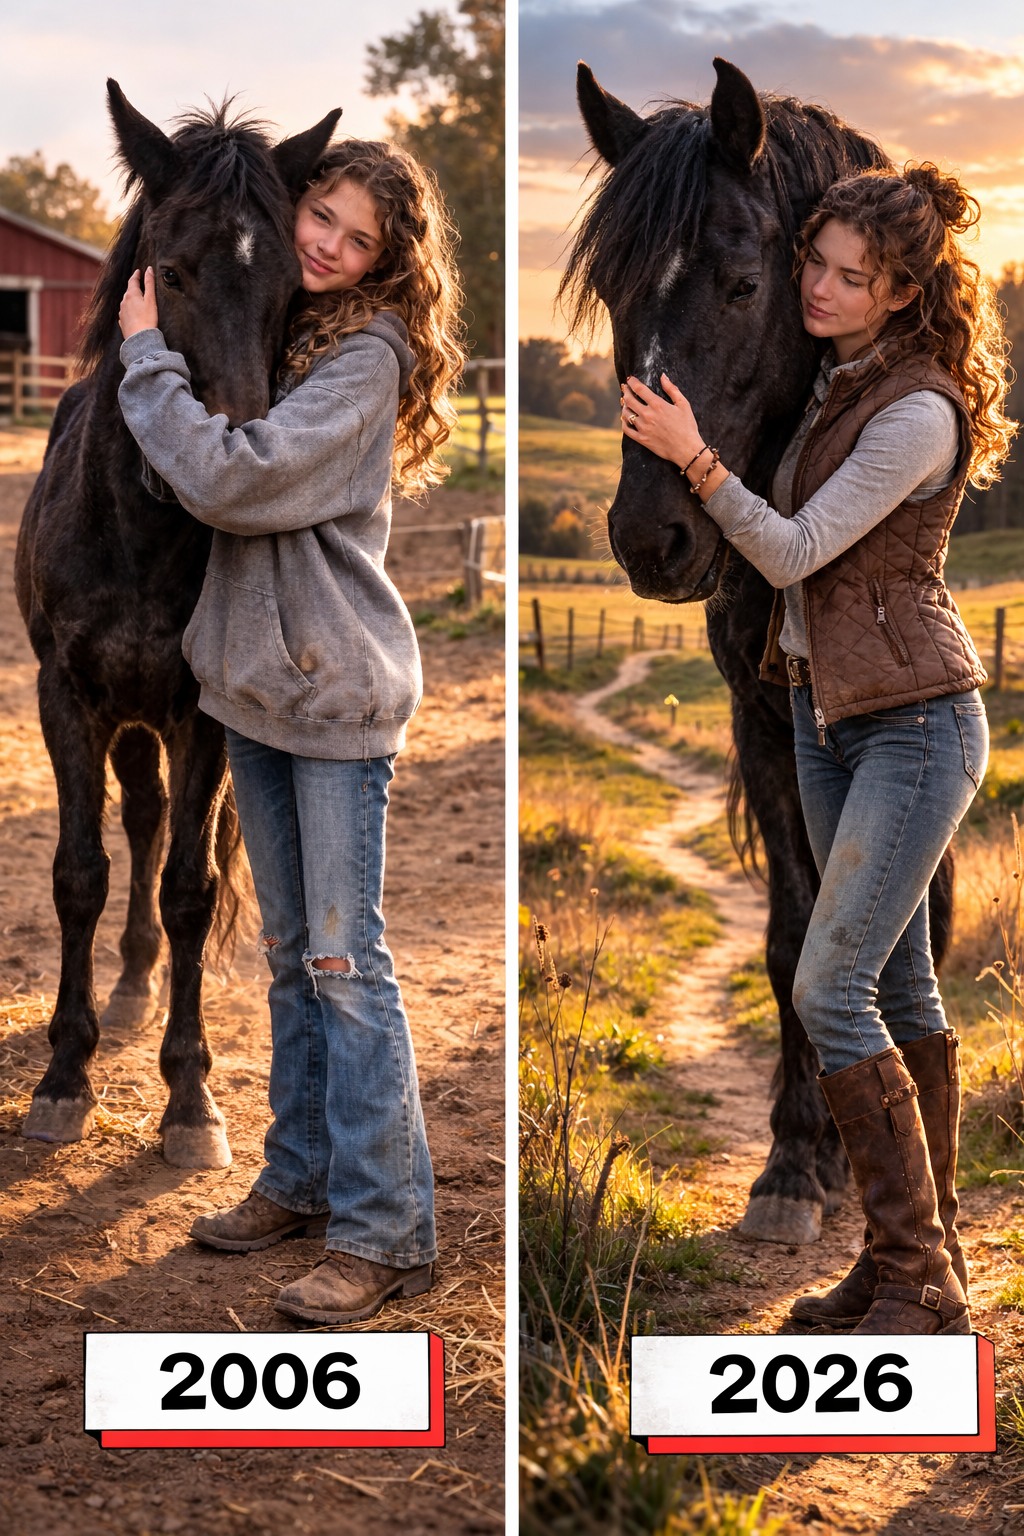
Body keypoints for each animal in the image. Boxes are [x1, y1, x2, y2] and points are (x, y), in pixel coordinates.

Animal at [15, 82, 340, 1168]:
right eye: (173, 268)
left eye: (292, 283)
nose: (235, 448)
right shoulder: (67, 697)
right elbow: (80, 872)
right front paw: (64, 1076)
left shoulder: (202, 714)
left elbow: (191, 887)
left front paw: (191, 1099)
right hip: (123, 718)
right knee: (141, 817)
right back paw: (125, 988)